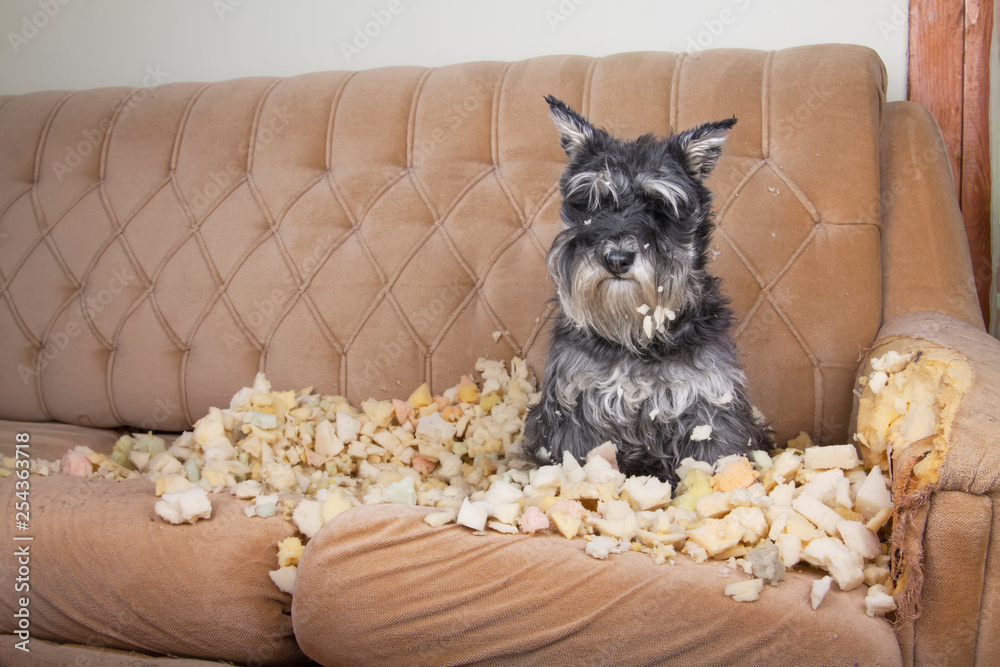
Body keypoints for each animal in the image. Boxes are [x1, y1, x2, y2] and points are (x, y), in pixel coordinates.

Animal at [524, 96, 772, 482]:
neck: (637, 337)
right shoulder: (574, 409)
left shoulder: (710, 407)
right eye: (593, 203)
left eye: (660, 208)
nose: (617, 257)